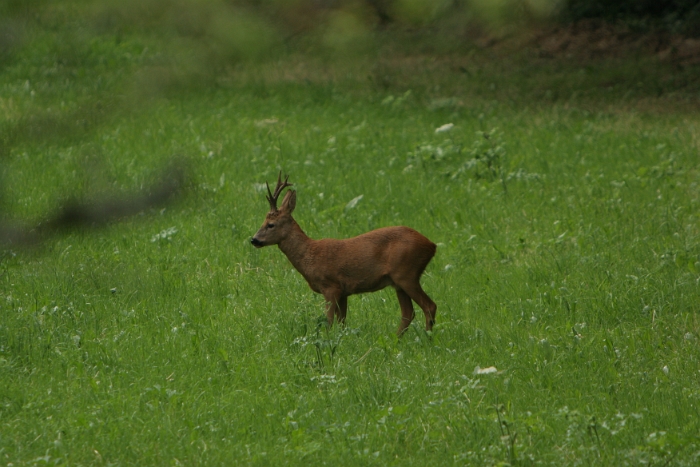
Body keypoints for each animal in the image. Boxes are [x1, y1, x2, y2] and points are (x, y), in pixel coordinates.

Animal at [252, 174, 438, 334]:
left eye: (270, 224)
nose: (254, 239)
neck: (309, 255)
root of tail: (432, 245)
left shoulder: (331, 286)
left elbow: (328, 321)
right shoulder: (344, 291)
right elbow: (342, 322)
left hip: (407, 273)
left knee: (429, 306)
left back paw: (427, 338)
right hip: (398, 281)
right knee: (408, 313)